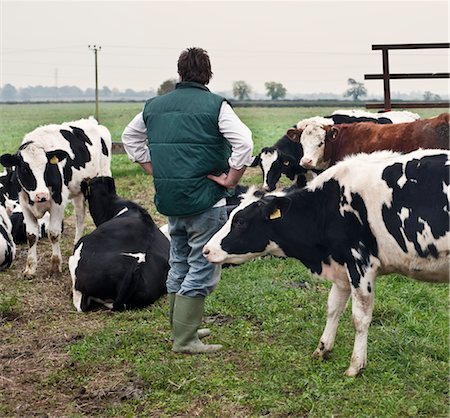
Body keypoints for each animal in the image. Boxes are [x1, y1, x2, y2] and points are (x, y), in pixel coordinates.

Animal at [0, 116, 111, 278]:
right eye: (25, 169)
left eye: (47, 166)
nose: (42, 195)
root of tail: (92, 121)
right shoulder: (24, 203)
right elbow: (31, 235)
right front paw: (30, 268)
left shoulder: (58, 202)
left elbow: (53, 233)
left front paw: (55, 266)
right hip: (78, 191)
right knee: (80, 216)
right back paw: (76, 243)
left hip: (104, 174)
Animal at [204, 149, 450, 376]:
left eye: (240, 221)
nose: (206, 250)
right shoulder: (340, 267)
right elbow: (333, 308)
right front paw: (322, 349)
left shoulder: (360, 263)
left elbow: (360, 317)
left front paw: (355, 366)